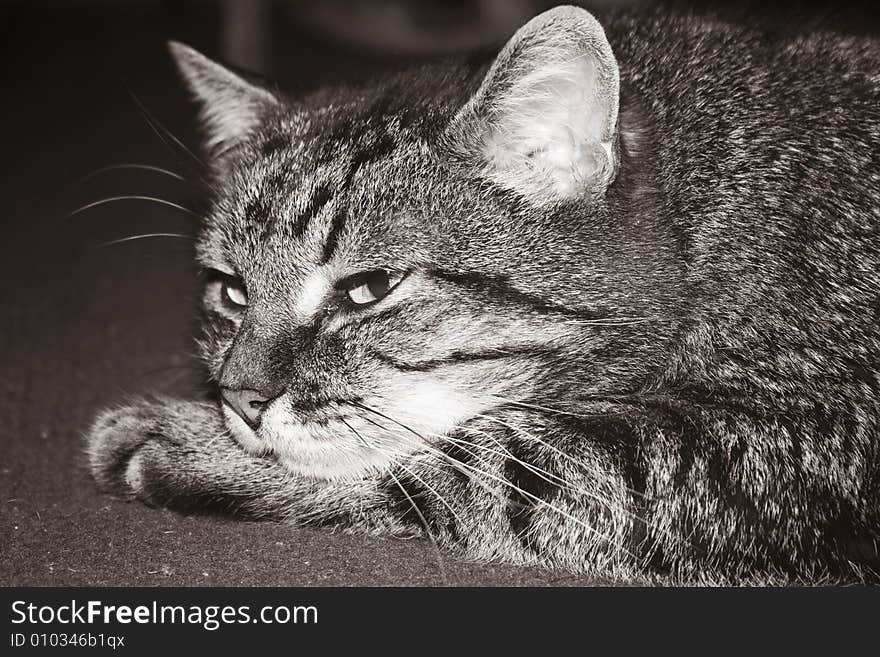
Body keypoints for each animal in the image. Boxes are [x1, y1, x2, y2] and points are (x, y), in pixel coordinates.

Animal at [87, 3, 880, 580]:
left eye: (369, 288)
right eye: (231, 290)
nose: (238, 399)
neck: (700, 231)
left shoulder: (794, 447)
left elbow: (477, 463)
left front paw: (181, 439)